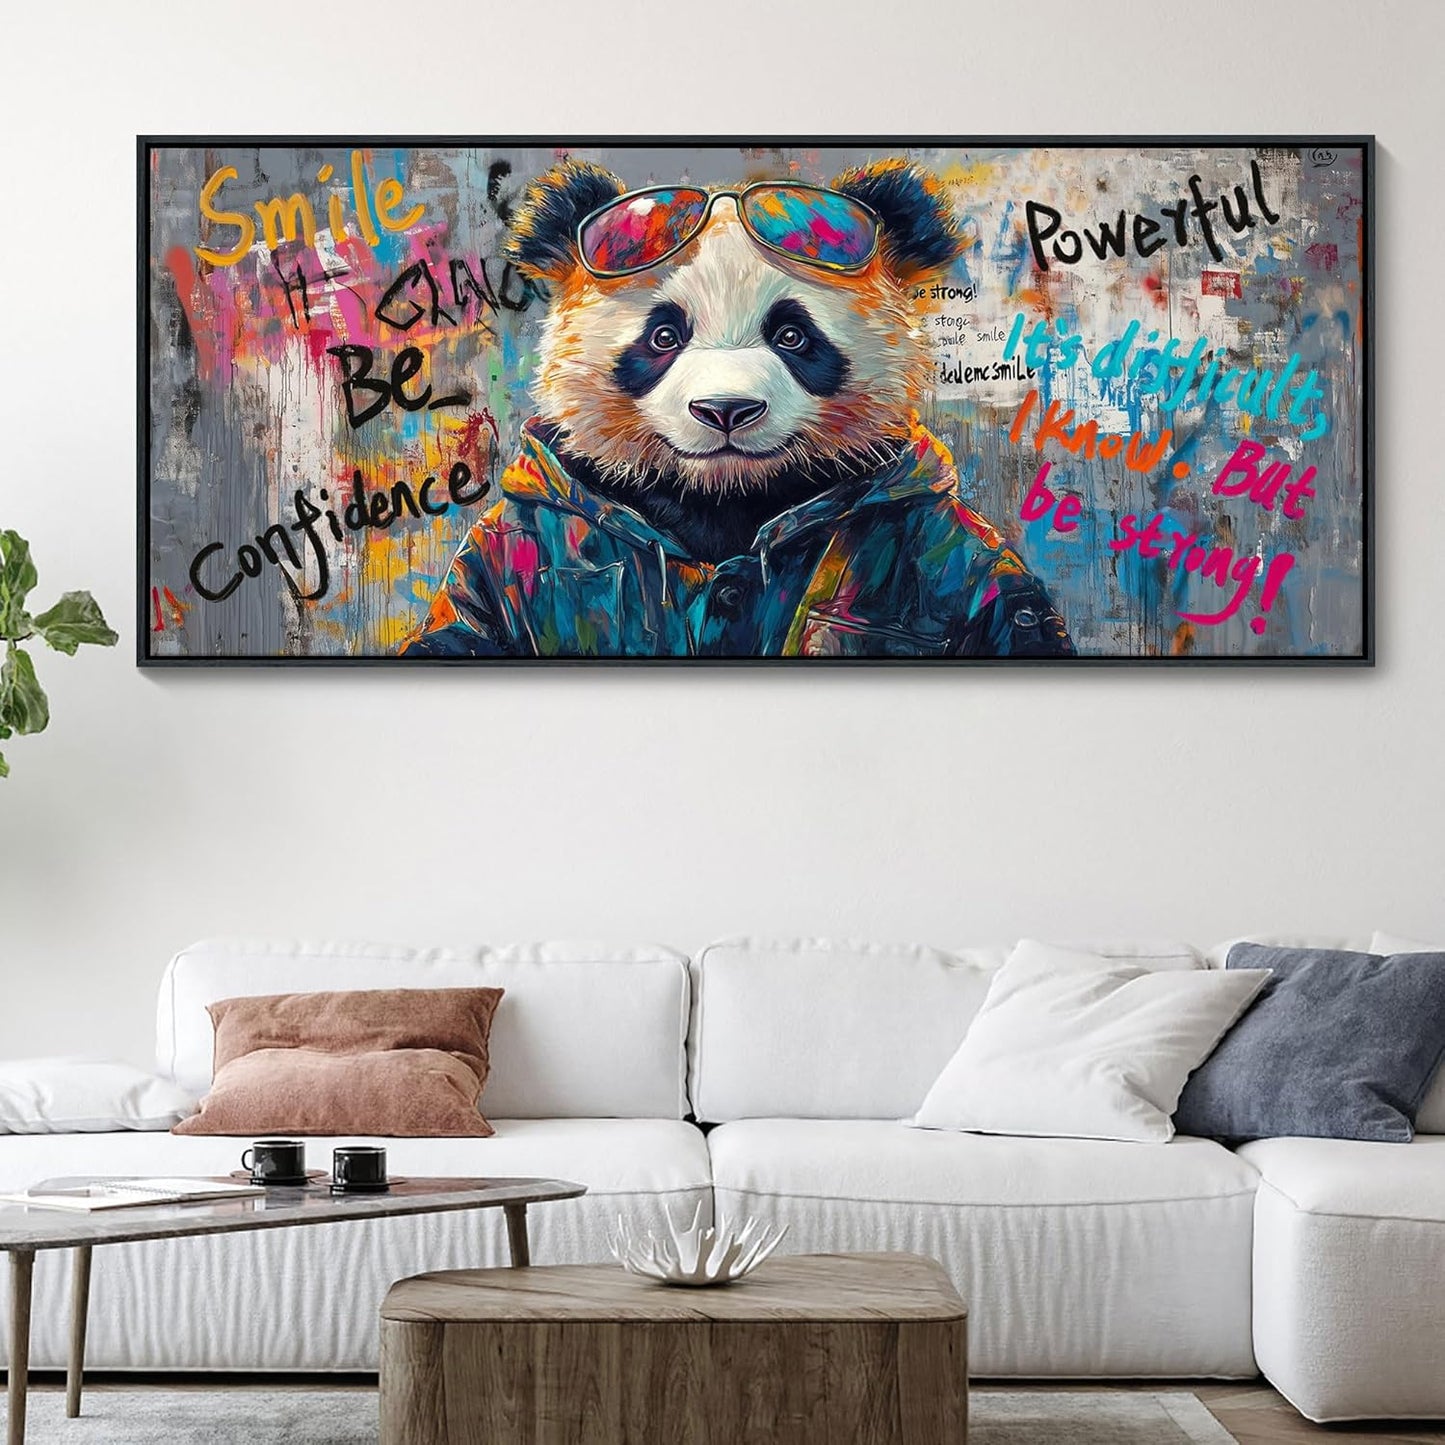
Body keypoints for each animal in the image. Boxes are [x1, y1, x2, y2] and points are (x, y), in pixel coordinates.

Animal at [401, 157, 1073, 659]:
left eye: (793, 335)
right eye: (663, 336)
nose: (725, 410)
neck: (724, 495)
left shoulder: (958, 555)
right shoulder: (496, 552)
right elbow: (463, 625)